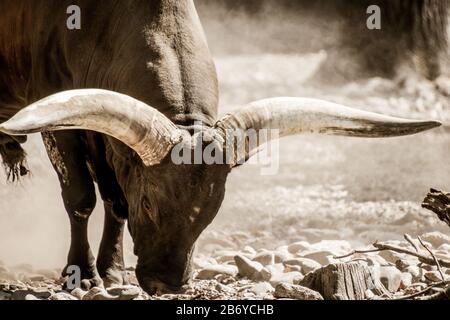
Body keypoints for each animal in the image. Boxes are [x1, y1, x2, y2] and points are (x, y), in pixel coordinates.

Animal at [0, 0, 442, 296]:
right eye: (151, 204)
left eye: (212, 210)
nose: (167, 282)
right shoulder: (64, 127)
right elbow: (81, 198)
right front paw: (82, 273)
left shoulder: (109, 145)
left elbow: (115, 203)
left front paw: (112, 272)